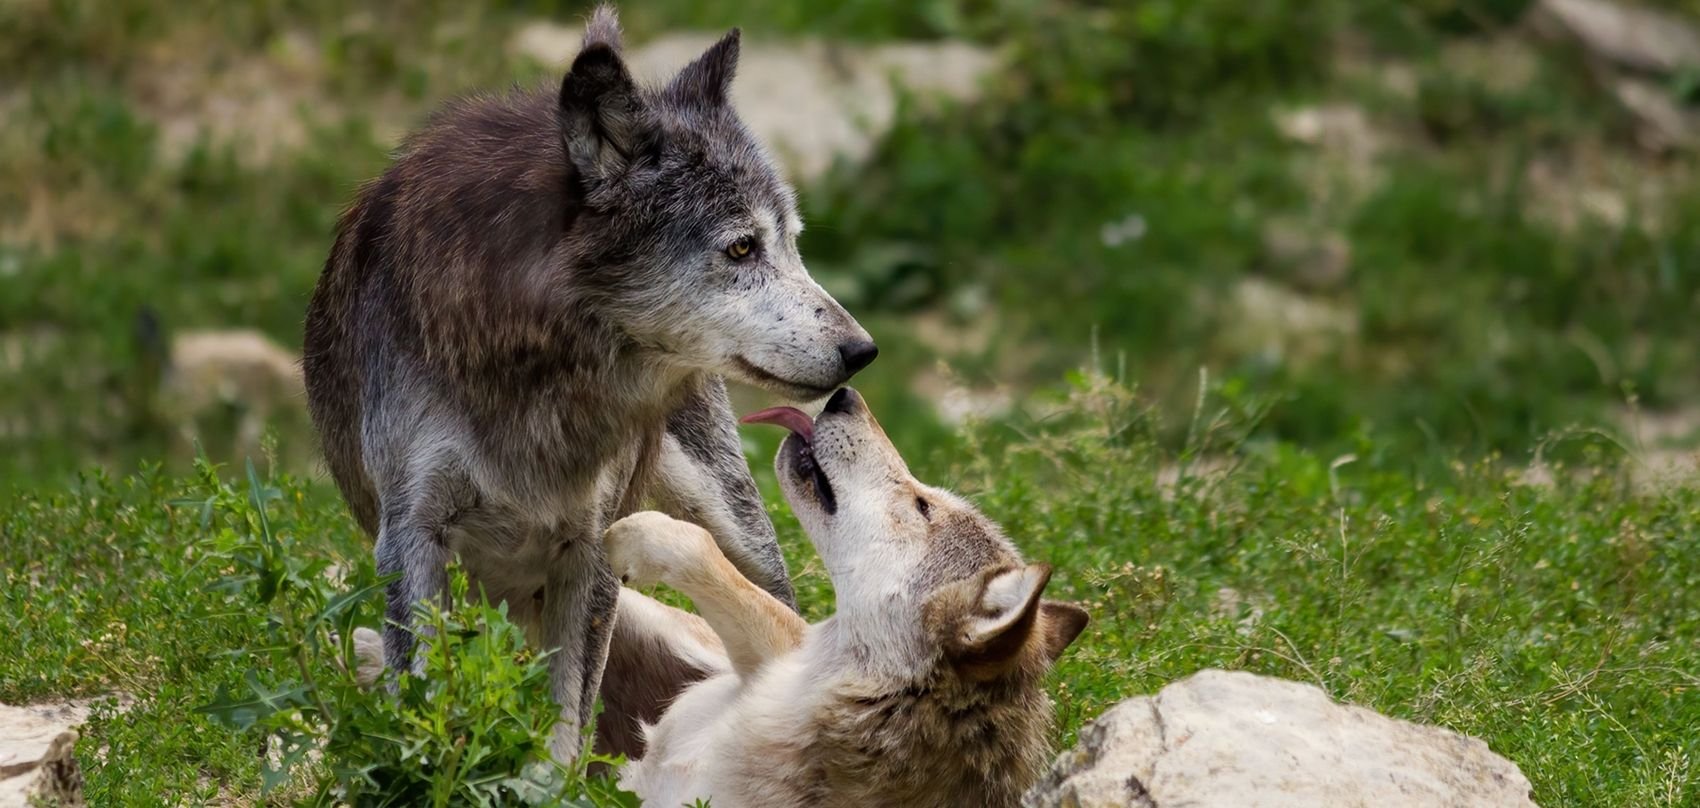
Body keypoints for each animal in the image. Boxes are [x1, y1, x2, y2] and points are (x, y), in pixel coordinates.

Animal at [301, 6, 875, 758]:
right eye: (742, 248)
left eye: (793, 244)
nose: (862, 350)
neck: (536, 366)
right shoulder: (411, 537)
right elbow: (428, 700)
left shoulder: (591, 543)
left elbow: (564, 727)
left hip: (736, 529)